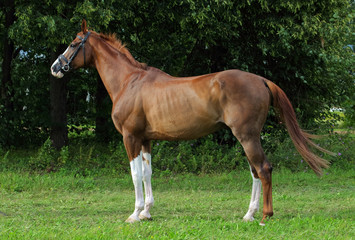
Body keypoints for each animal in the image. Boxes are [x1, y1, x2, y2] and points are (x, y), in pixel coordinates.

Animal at [51, 20, 332, 225]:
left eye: (73, 44)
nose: (55, 67)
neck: (129, 81)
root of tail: (261, 80)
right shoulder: (146, 140)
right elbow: (148, 173)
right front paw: (147, 212)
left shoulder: (130, 137)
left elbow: (135, 174)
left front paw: (135, 214)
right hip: (246, 138)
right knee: (255, 171)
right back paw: (249, 214)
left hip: (247, 137)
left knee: (263, 169)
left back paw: (265, 215)